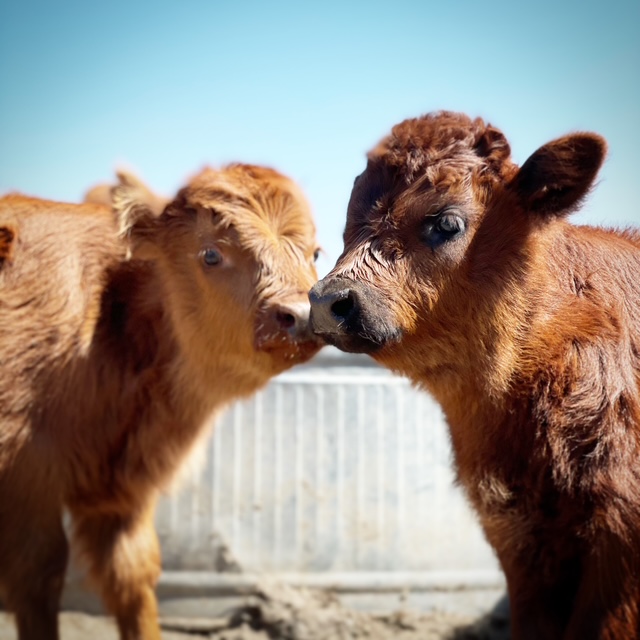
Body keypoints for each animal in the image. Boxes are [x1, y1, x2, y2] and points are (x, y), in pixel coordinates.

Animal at [0, 163, 322, 640]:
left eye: (316, 252)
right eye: (211, 255)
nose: (300, 315)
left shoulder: (121, 495)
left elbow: (133, 574)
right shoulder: (26, 478)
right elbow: (39, 575)